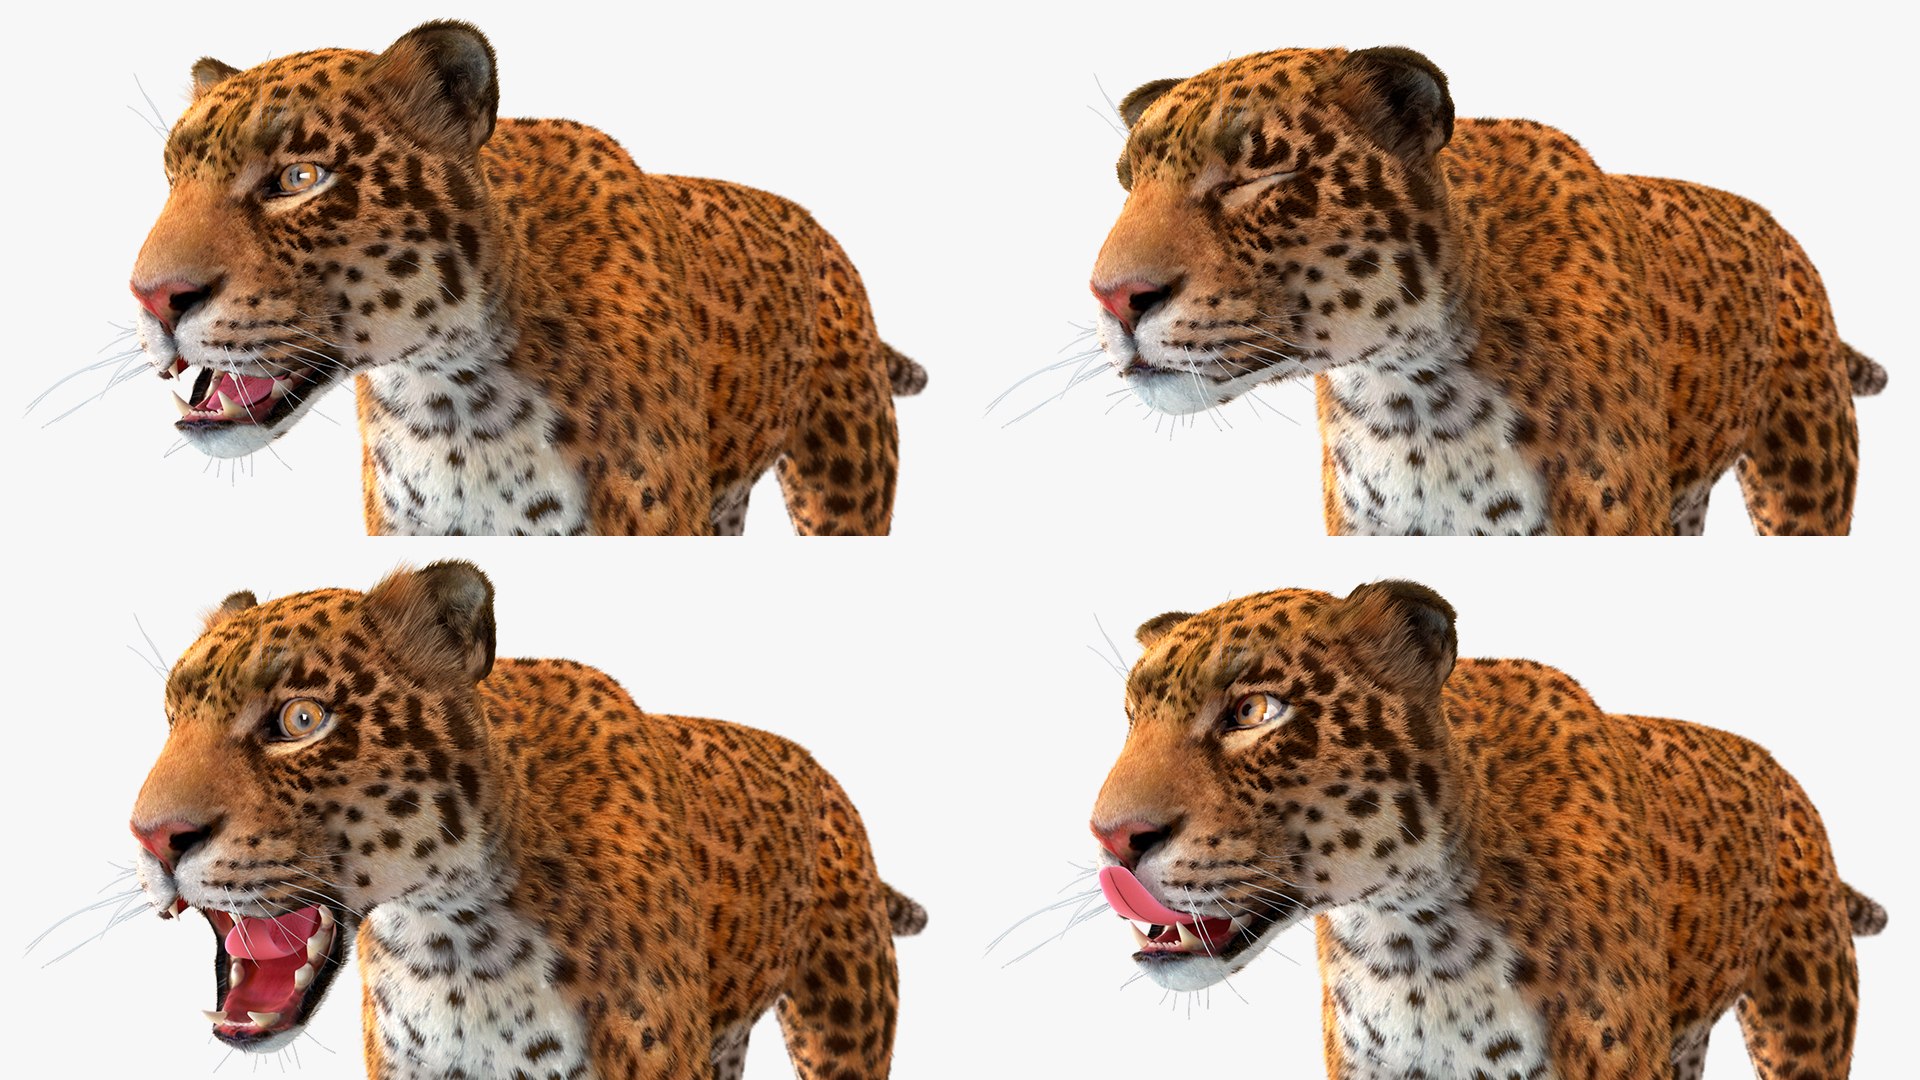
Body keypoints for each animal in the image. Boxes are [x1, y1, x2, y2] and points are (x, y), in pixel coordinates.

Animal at [127, 560, 926, 1079]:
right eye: (170, 719)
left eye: (300, 719)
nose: (153, 838)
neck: (451, 944)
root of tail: (826, 779)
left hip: (844, 1016)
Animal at [128, 20, 926, 535]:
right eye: (171, 178)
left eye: (299, 178)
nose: (153, 298)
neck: (451, 405)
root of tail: (826, 237)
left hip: (843, 481)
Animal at [1089, 580, 1884, 1078]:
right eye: (1130, 719)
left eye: (1255, 711)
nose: (1110, 838)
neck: (1412, 944)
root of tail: (1784, 775)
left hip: (1805, 1015)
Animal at [1090, 46, 1886, 534]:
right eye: (1128, 184)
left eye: (1258, 177)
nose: (1113, 297)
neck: (1413, 404)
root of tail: (1783, 234)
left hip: (1804, 478)